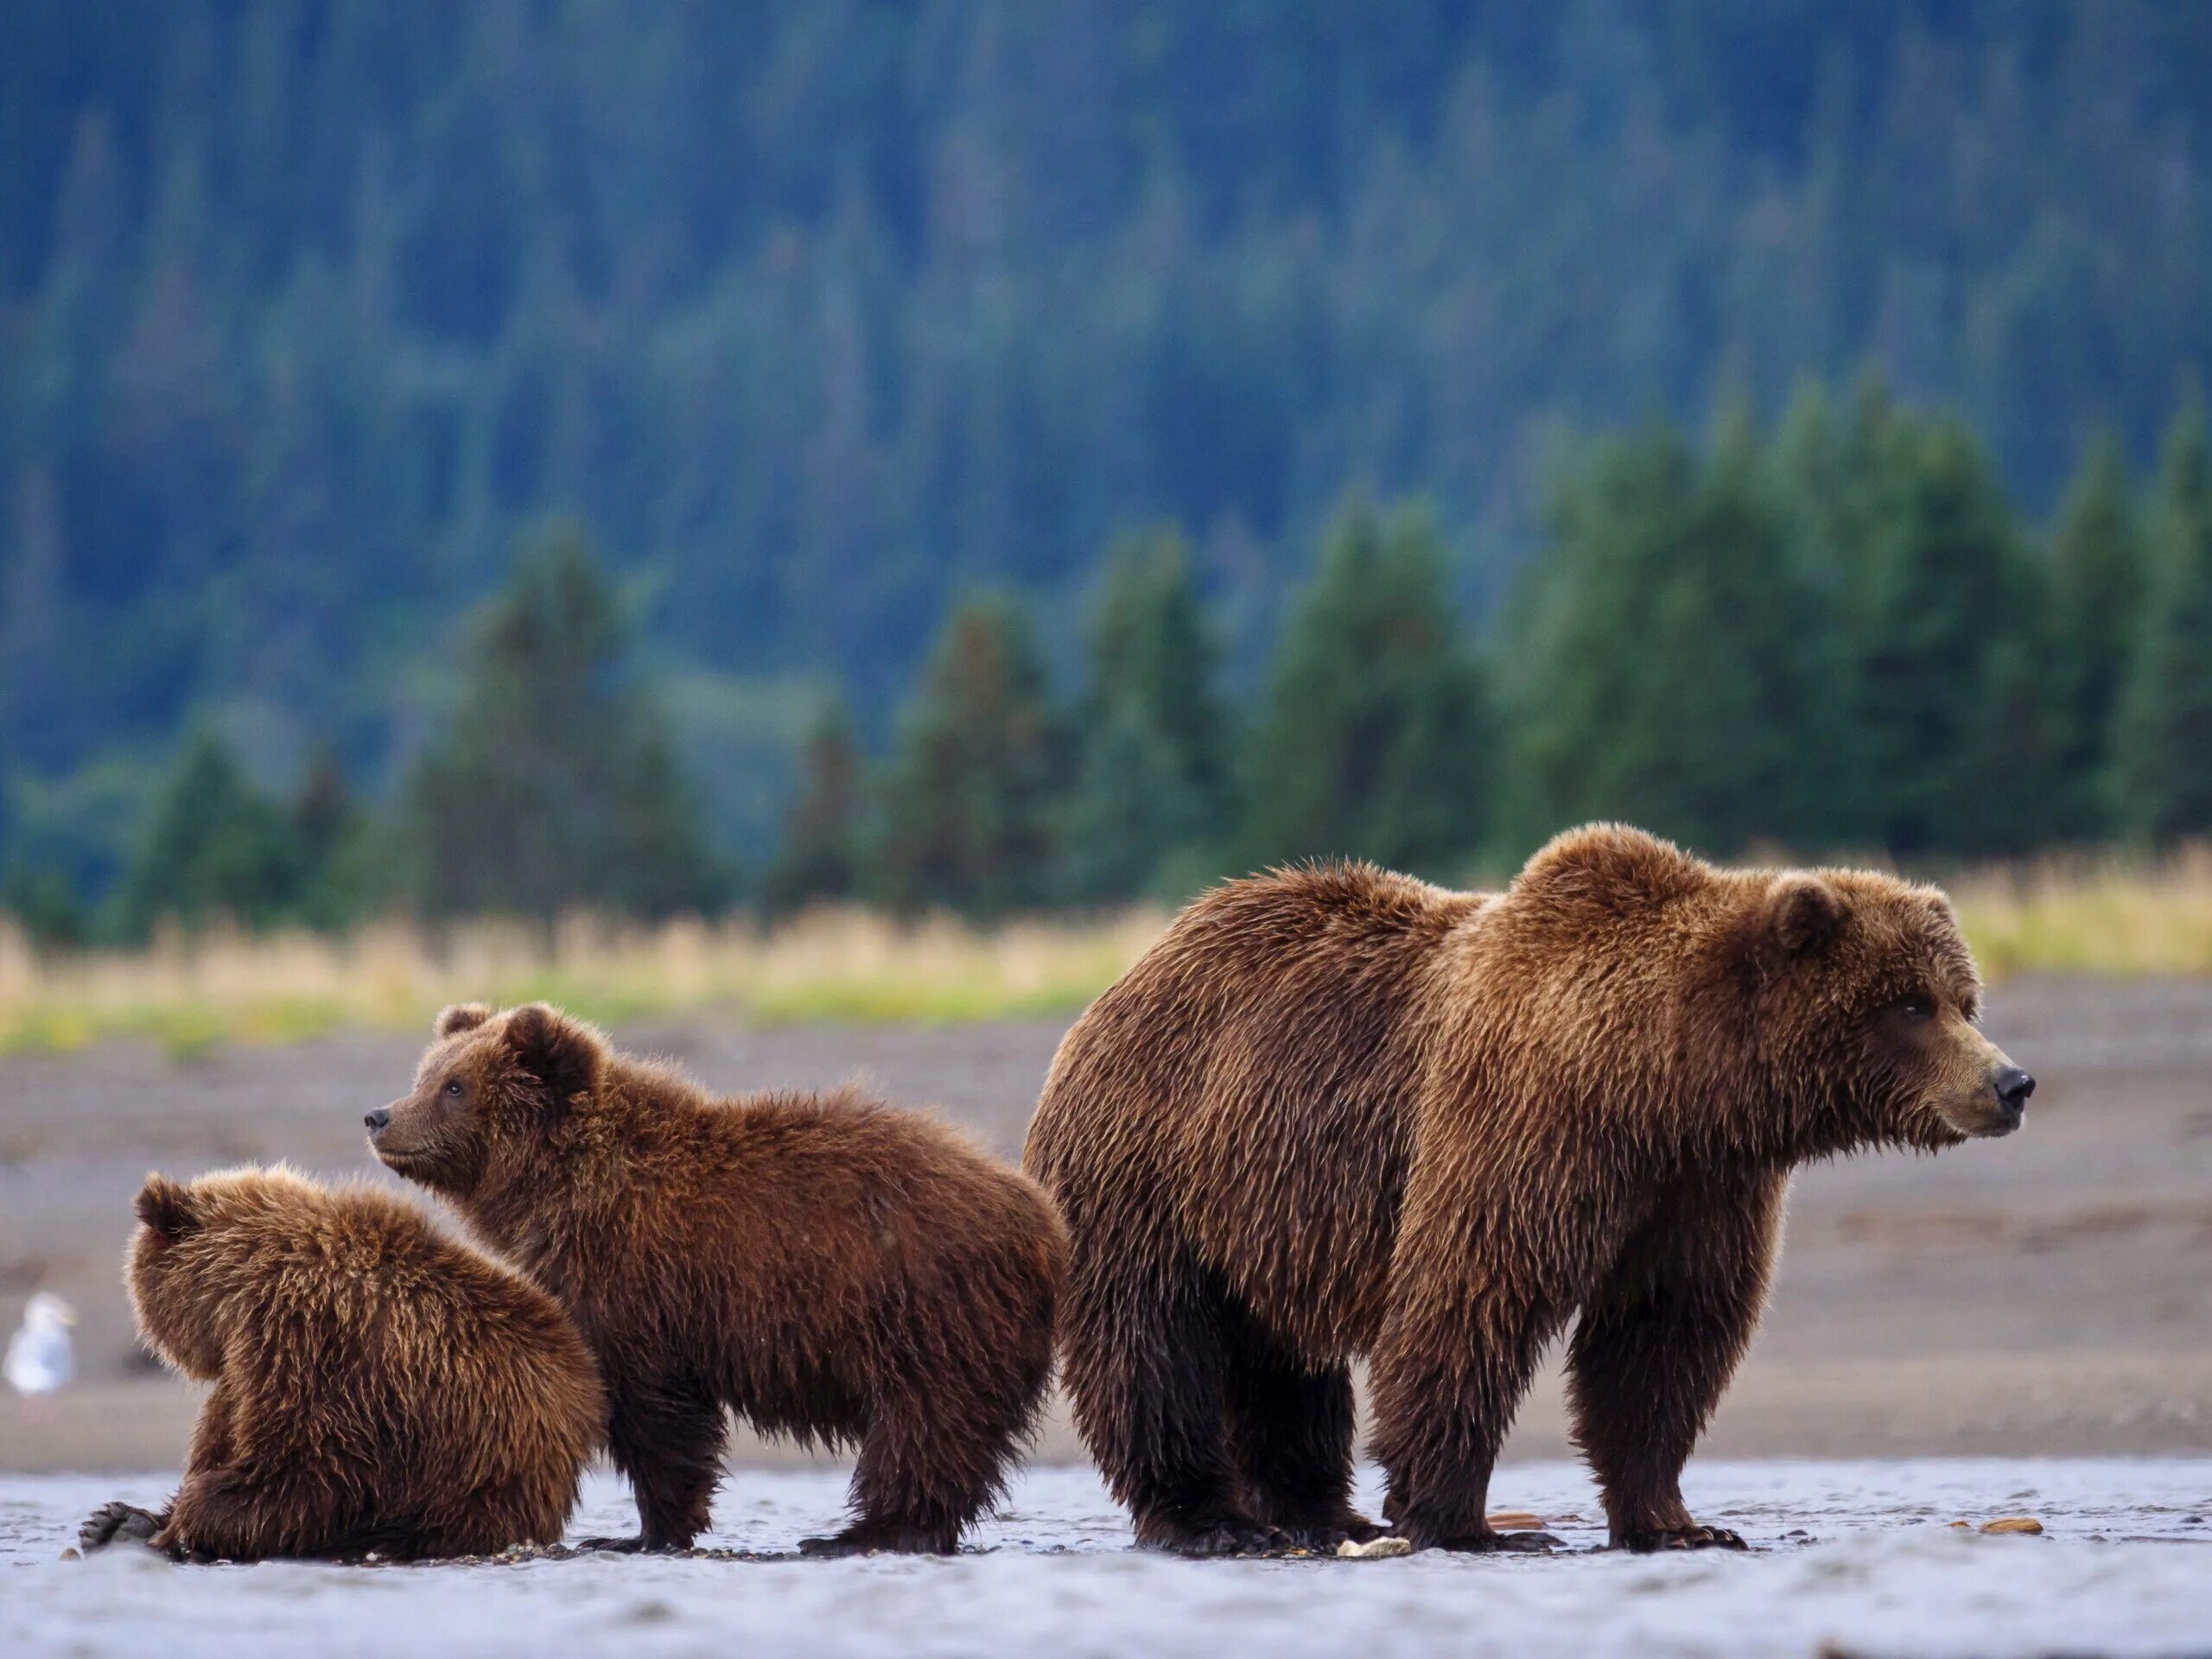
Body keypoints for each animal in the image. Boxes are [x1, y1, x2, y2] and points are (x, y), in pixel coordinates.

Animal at [372, 1008, 1071, 1566]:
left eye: (455, 1086)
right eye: (426, 1074)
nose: (380, 1115)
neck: (564, 1191)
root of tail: (1041, 1219)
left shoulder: (638, 1285)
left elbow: (657, 1417)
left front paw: (642, 1531)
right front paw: (633, 1531)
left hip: (927, 1307)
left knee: (923, 1426)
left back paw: (857, 1533)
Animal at [1026, 831, 2025, 1557]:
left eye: (1961, 997)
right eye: (1908, 1005)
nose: (2010, 1083)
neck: (1666, 1084)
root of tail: (1123, 981)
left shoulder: (1699, 1188)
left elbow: (1664, 1339)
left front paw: (1680, 1522)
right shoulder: (1527, 1126)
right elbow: (1469, 1301)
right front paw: (1467, 1525)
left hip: (1261, 1210)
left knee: (1283, 1362)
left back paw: (1323, 1514)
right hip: (1148, 1169)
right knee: (1154, 1347)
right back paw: (1211, 1521)